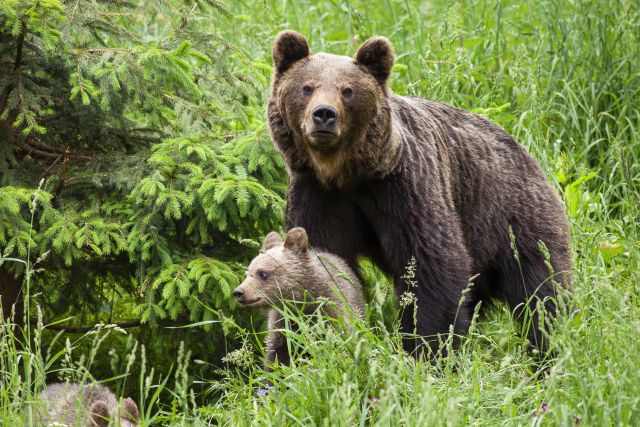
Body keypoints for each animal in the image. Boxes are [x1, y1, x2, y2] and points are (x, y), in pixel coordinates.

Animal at [234, 229, 364, 366]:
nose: (238, 292)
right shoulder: (282, 328)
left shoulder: (333, 315)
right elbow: (277, 358)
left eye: (262, 273)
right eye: (246, 274)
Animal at [264, 31, 568, 356]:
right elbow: (326, 262)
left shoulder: (406, 187)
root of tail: (525, 151)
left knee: (541, 288)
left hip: (512, 216)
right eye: (307, 87)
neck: (345, 172)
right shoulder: (318, 195)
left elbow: (430, 264)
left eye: (347, 90)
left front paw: (427, 346)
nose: (324, 114)